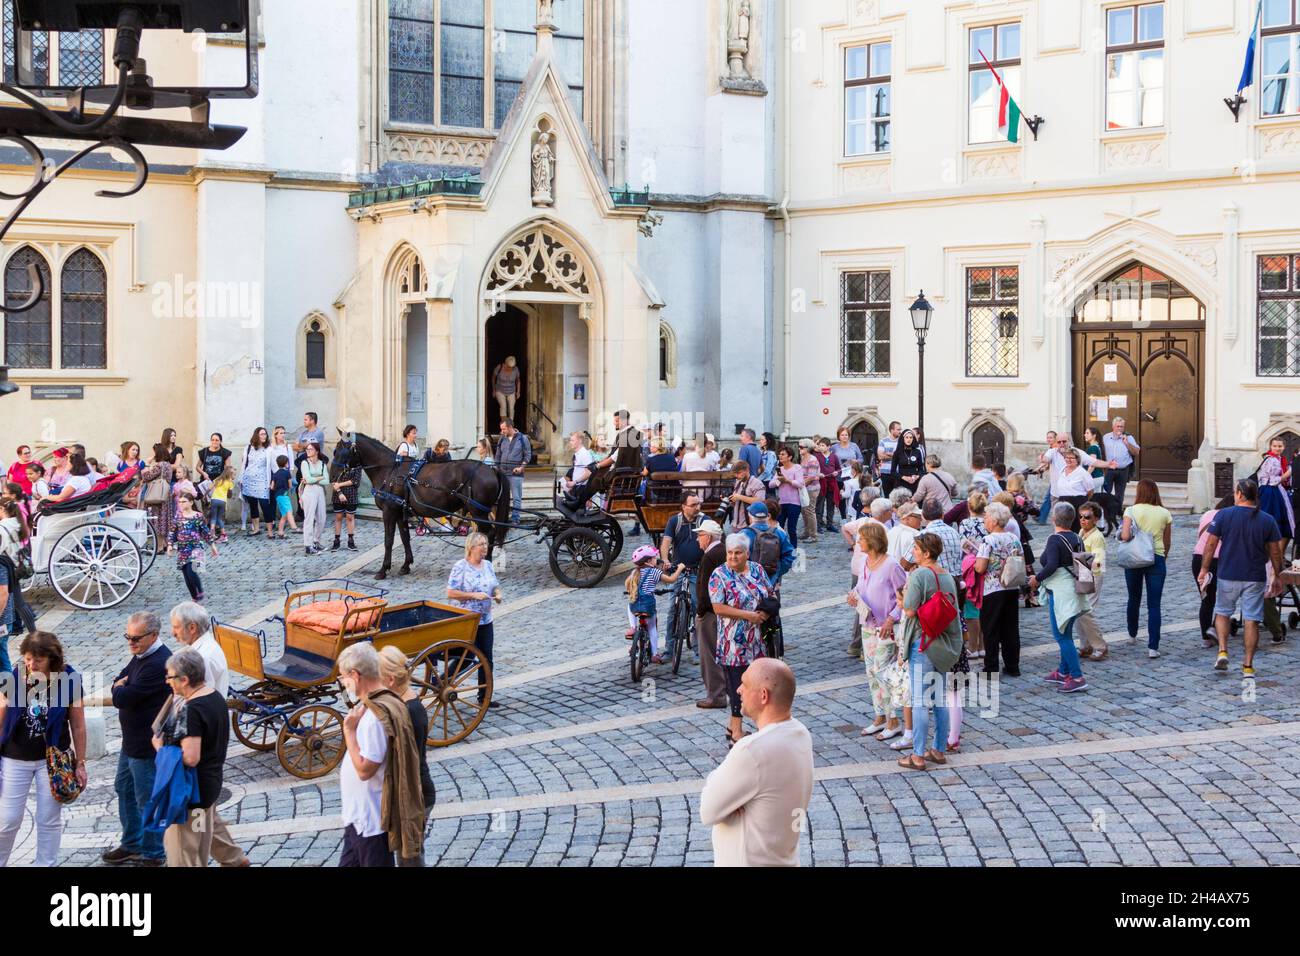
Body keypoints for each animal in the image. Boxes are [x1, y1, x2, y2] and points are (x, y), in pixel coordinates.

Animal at [327, 434, 509, 582]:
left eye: (339, 450)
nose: (332, 476)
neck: (389, 470)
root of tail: (492, 469)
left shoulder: (389, 512)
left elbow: (388, 540)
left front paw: (383, 569)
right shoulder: (400, 512)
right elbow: (404, 537)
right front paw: (406, 565)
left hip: (479, 511)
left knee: (489, 533)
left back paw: (487, 562)